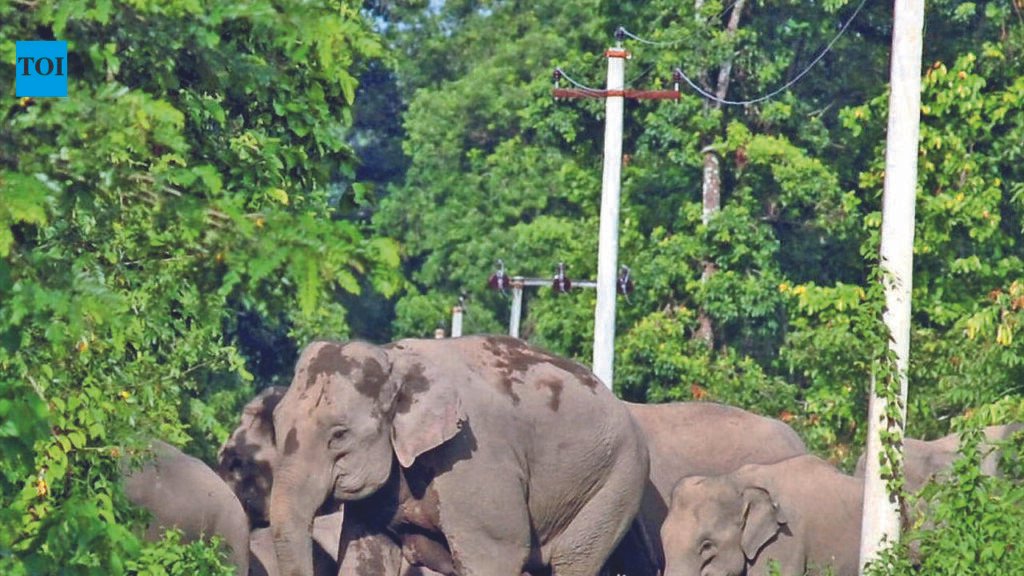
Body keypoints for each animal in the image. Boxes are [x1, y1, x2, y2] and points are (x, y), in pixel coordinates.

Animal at [268, 335, 650, 576]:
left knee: (575, 559)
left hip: (614, 482)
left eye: (339, 435)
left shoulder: (471, 458)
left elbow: (496, 554)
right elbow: (366, 554)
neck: (394, 358)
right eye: (275, 422)